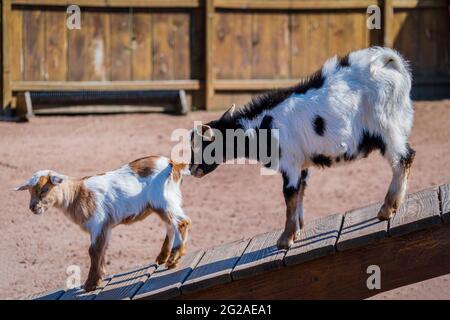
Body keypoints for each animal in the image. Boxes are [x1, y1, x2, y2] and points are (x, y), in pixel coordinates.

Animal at [14, 156, 191, 292]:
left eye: (44, 189)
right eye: (29, 191)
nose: (33, 207)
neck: (77, 194)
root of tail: (174, 164)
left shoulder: (97, 223)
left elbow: (93, 251)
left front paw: (90, 284)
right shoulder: (105, 227)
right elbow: (103, 248)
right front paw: (100, 277)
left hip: (164, 199)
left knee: (182, 222)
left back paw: (173, 259)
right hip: (162, 204)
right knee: (170, 224)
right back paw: (163, 257)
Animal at [189, 46, 414, 249]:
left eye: (204, 145)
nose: (192, 170)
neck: (263, 124)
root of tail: (388, 62)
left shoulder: (290, 163)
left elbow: (289, 196)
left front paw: (285, 240)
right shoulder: (302, 166)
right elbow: (300, 195)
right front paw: (297, 231)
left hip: (386, 128)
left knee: (403, 159)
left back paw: (386, 210)